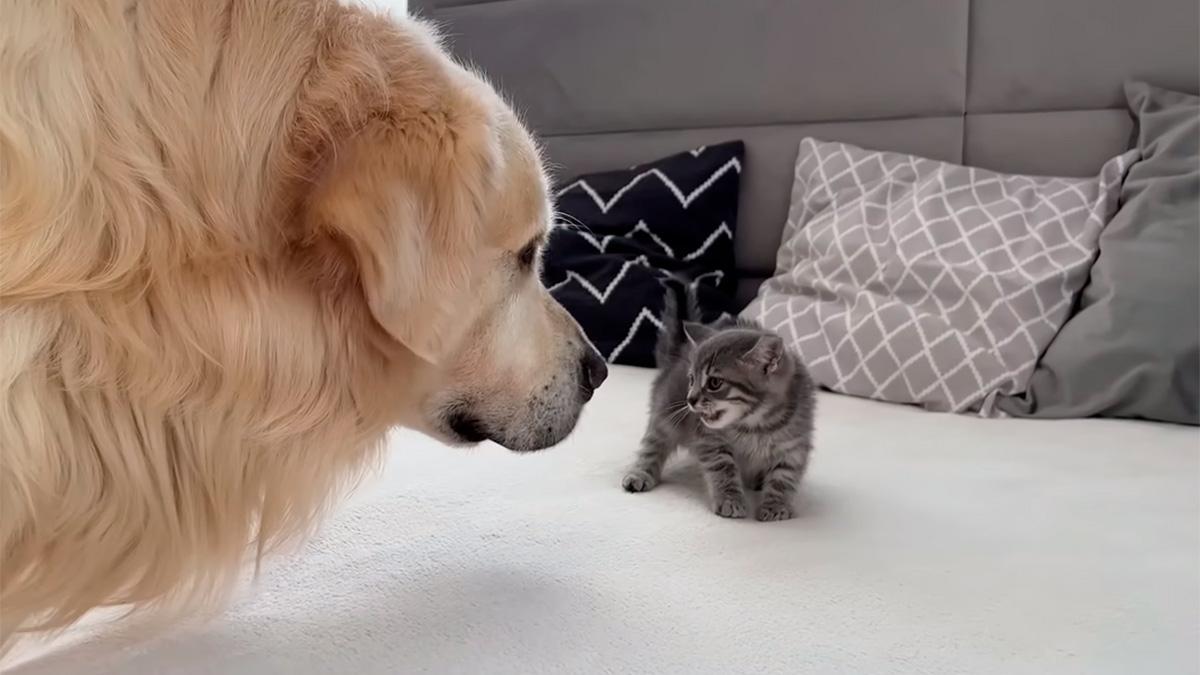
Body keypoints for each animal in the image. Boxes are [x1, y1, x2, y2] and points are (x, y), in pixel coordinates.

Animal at [619, 290, 816, 521]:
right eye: (691, 379)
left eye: (714, 383)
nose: (690, 399)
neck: (756, 425)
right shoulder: (710, 440)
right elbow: (723, 469)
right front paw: (730, 500)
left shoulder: (794, 446)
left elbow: (784, 477)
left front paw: (776, 505)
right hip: (665, 415)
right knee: (652, 445)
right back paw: (639, 473)